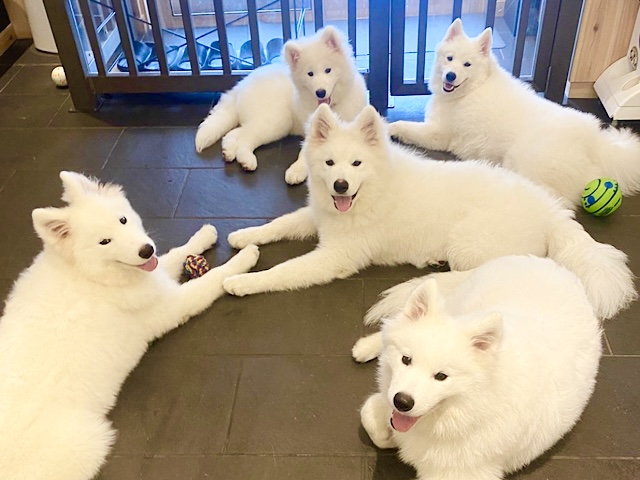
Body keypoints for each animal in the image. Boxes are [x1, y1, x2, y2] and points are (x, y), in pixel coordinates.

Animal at [0, 171, 262, 478]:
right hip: (87, 443)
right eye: (104, 241)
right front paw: (243, 260)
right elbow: (211, 279)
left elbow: (173, 255)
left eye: (123, 220)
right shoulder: (170, 305)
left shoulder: (154, 274)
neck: (91, 275)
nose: (146, 249)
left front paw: (204, 235)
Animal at [194, 25, 364, 185]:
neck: (333, 106)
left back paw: (228, 151)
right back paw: (246, 159)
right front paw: (297, 171)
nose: (320, 92)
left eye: (328, 70)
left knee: (236, 132)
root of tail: (242, 84)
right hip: (277, 120)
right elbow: (306, 153)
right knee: (245, 138)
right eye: (310, 74)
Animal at [222, 106, 636, 322]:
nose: (340, 186)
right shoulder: (319, 216)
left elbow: (283, 271)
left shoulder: (335, 257)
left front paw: (241, 282)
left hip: (468, 241)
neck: (372, 190)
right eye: (329, 163)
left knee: (476, 273)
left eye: (356, 163)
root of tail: (551, 212)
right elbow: (280, 223)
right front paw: (243, 237)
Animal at [352, 255, 604, 480]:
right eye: (406, 359)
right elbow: (367, 414)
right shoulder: (388, 396)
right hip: (461, 306)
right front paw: (387, 436)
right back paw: (364, 346)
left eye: (441, 376)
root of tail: (550, 263)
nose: (402, 402)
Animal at [388, 18, 640, 207]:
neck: (473, 88)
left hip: (524, 159)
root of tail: (593, 141)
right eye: (449, 58)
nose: (450, 75)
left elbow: (402, 125)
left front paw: (388, 128)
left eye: (467, 64)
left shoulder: (438, 133)